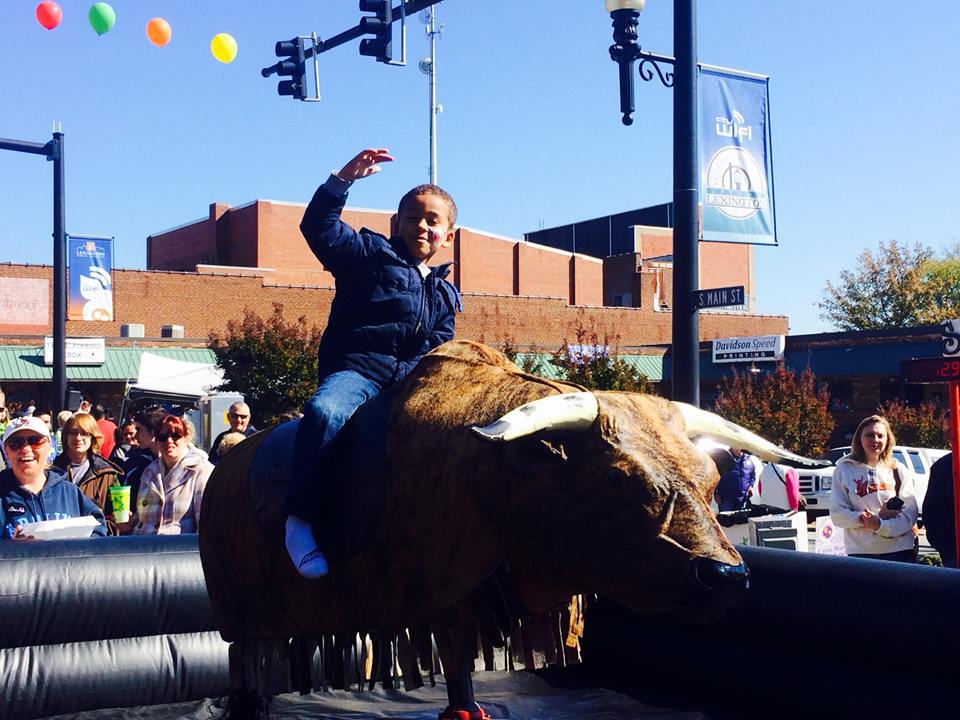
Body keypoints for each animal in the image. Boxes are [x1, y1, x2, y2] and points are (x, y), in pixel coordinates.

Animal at [199, 340, 812, 716]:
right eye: (618, 480)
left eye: (712, 478)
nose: (726, 577)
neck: (503, 474)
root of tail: (224, 471)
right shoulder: (442, 596)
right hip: (239, 618)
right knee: (246, 679)